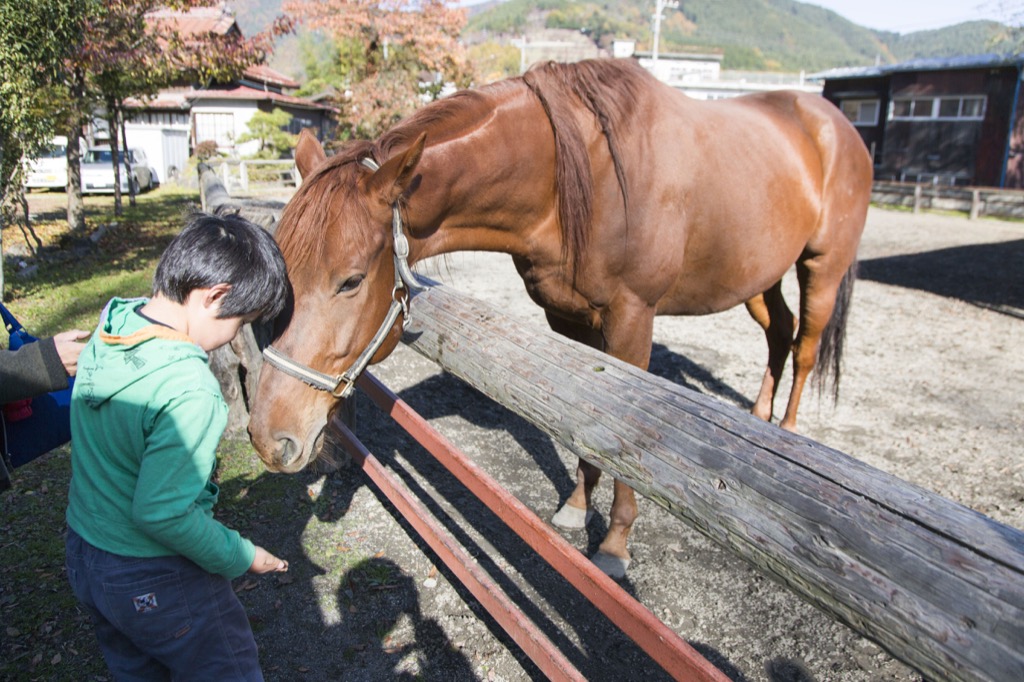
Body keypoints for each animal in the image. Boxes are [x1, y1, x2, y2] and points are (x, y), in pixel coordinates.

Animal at [247, 58, 872, 577]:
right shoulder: (567, 318)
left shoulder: (632, 318)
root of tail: (835, 124)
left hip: (821, 267)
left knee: (806, 346)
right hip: (759, 276)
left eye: (350, 281)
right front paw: (576, 505)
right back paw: (761, 418)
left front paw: (615, 543)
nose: (269, 438)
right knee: (779, 334)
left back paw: (786, 433)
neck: (579, 176)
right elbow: (582, 422)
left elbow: (618, 433)